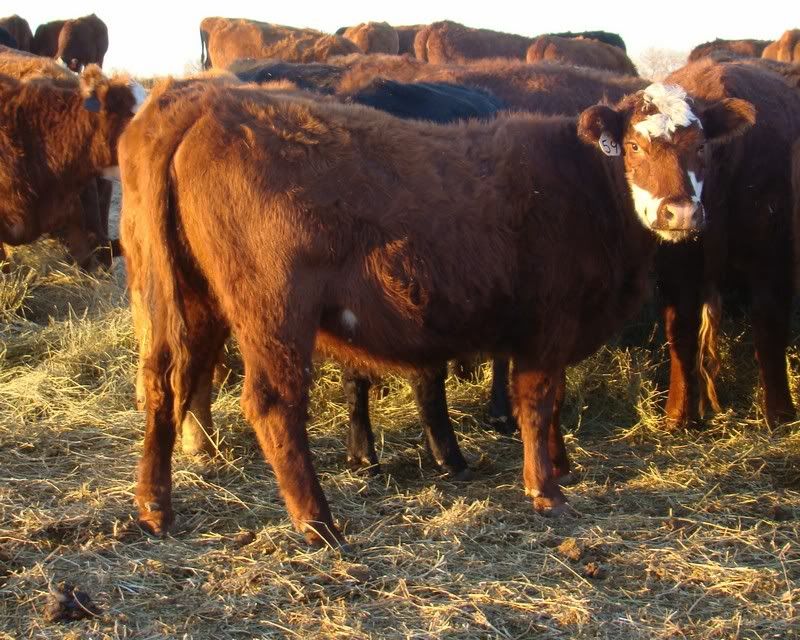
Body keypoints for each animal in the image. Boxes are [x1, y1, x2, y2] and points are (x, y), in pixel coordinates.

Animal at [119, 74, 752, 545]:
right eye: (638, 146)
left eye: (701, 146)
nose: (679, 213)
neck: (583, 184)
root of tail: (201, 100)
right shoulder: (548, 323)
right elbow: (537, 400)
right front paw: (545, 490)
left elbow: (553, 400)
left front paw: (559, 463)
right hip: (272, 310)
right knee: (273, 403)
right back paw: (317, 521)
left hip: (183, 297)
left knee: (162, 384)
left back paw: (154, 507)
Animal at [656, 58, 800, 428]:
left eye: (699, 146)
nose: (680, 212)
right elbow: (682, 330)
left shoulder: (771, 260)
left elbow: (768, 326)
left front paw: (779, 411)